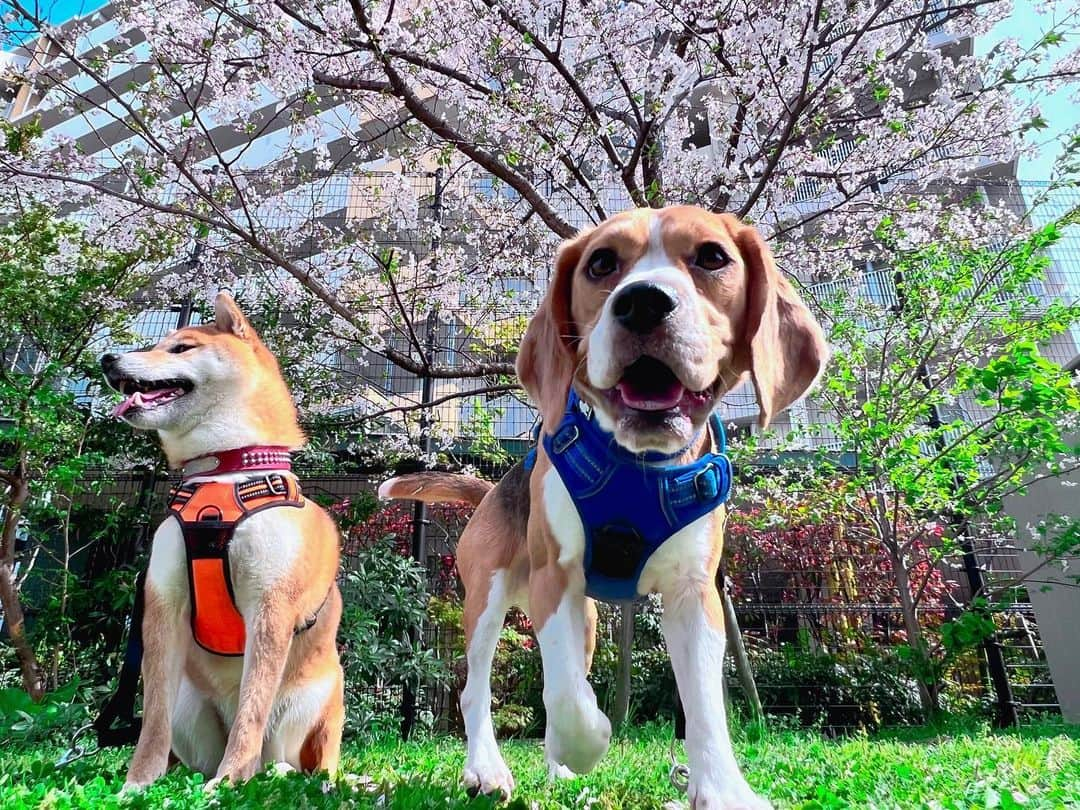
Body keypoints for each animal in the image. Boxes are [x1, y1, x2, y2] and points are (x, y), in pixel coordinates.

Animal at [103, 293, 343, 794]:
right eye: (159, 343)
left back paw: (285, 774)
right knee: (196, 754)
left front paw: (231, 781)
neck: (224, 472)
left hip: (319, 696)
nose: (107, 358)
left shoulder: (270, 606)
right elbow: (151, 720)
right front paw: (137, 783)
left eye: (181, 347)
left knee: (303, 758)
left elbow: (252, 711)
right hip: (189, 704)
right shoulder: (164, 603)